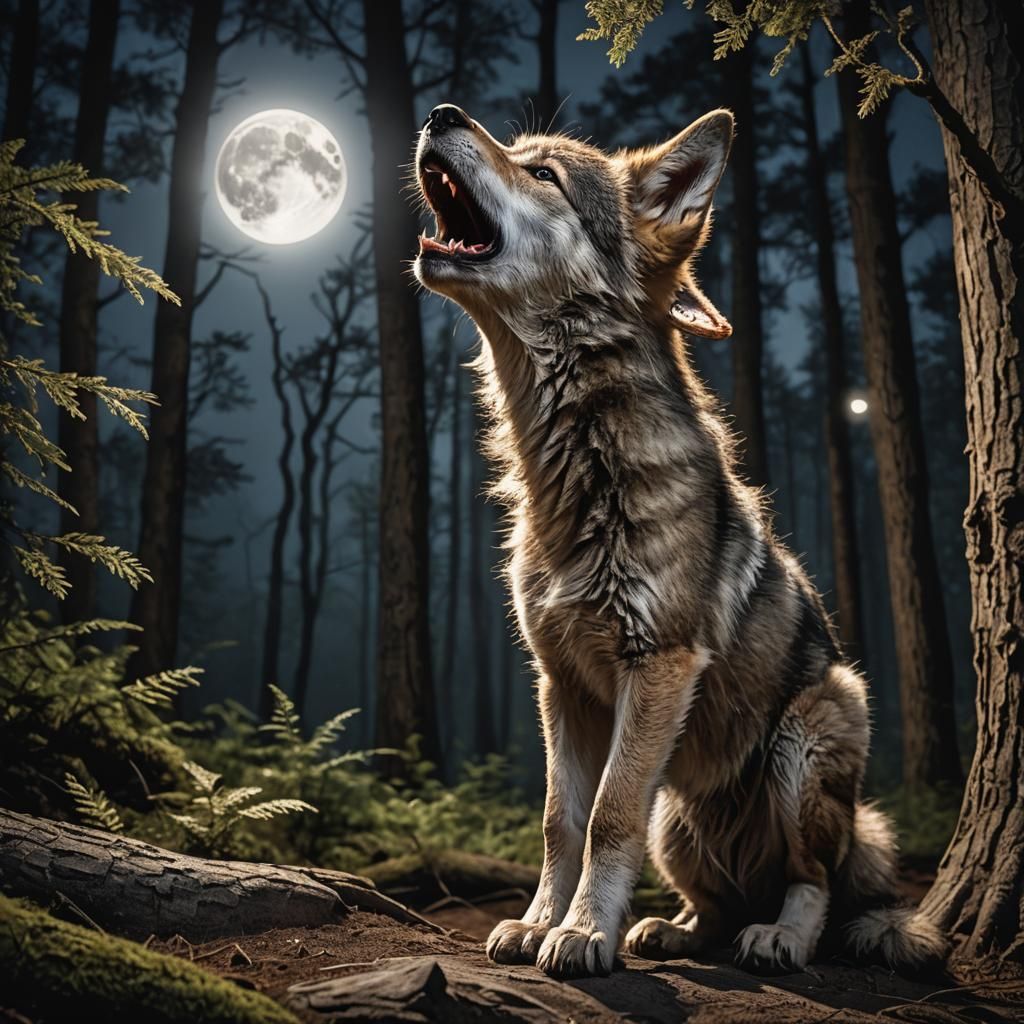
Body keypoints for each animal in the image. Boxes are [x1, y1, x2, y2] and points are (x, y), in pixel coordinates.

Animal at [411, 103, 948, 980]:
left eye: (544, 173)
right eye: (518, 153)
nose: (440, 114)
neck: (577, 468)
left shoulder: (656, 665)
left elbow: (607, 816)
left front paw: (580, 935)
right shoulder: (561, 683)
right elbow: (561, 820)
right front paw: (539, 923)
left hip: (813, 735)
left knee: (811, 881)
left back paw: (780, 938)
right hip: (679, 814)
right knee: (718, 905)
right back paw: (674, 930)